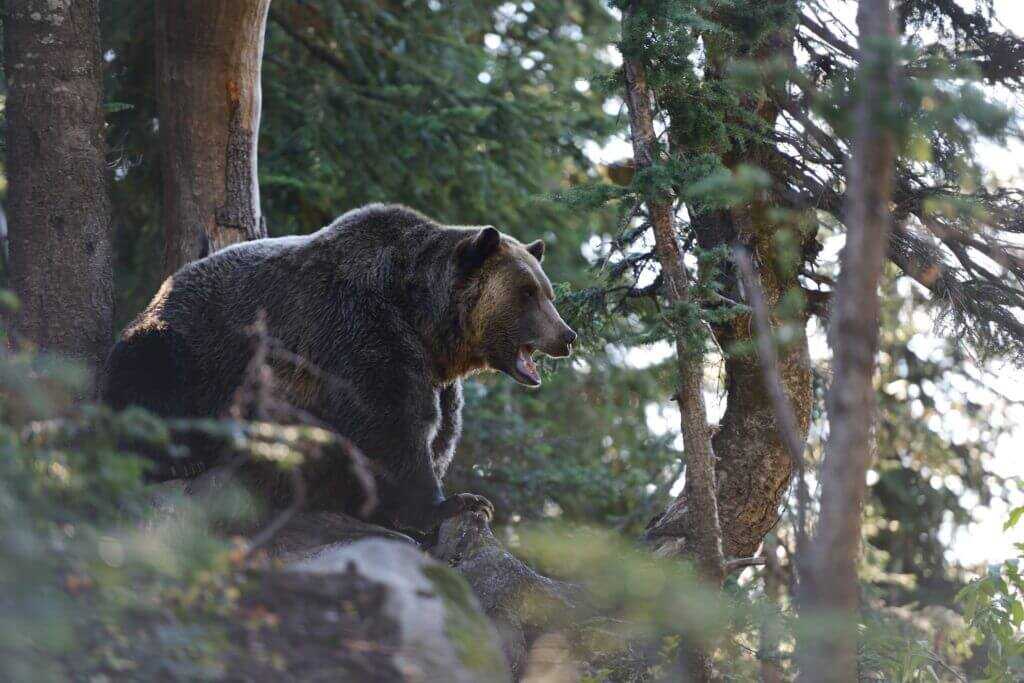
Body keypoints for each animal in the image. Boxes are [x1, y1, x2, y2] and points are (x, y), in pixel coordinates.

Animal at [102, 204, 577, 532]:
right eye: (527, 292)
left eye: (547, 292)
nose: (567, 335)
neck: (426, 322)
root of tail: (166, 284)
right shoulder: (362, 332)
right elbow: (393, 425)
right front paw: (453, 503)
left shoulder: (434, 373)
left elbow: (441, 431)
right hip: (187, 348)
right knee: (144, 379)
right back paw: (174, 460)